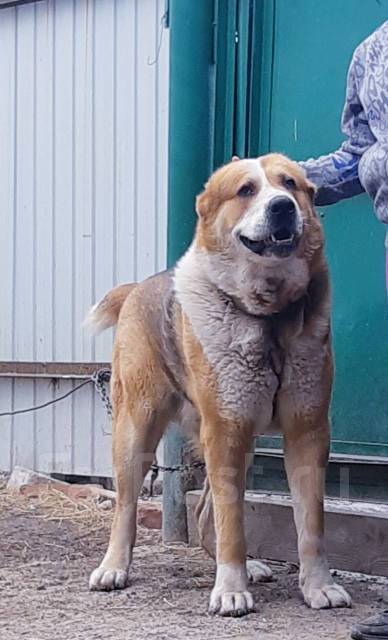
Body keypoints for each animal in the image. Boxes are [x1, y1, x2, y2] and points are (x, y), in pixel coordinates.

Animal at [87, 154, 352, 616]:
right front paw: (230, 590)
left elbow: (311, 524)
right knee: (126, 507)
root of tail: (139, 287)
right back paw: (113, 568)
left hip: (237, 444)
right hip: (137, 430)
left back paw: (251, 566)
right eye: (246, 190)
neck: (268, 316)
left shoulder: (307, 431)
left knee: (204, 512)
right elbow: (233, 523)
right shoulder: (226, 430)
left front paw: (318, 586)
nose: (282, 206)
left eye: (290, 184)